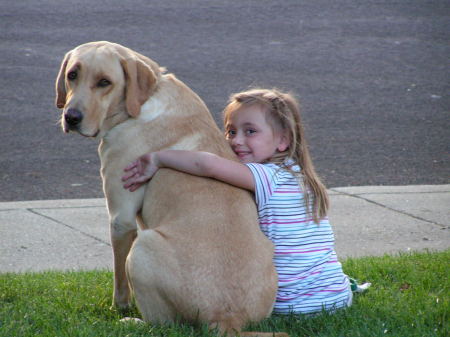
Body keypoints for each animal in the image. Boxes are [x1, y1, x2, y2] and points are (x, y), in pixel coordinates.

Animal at [54, 42, 284, 336]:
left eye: (104, 82)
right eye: (72, 75)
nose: (71, 117)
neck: (145, 98)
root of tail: (226, 318)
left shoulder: (121, 220)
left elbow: (119, 282)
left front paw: (118, 307)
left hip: (142, 247)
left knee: (161, 323)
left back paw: (133, 321)